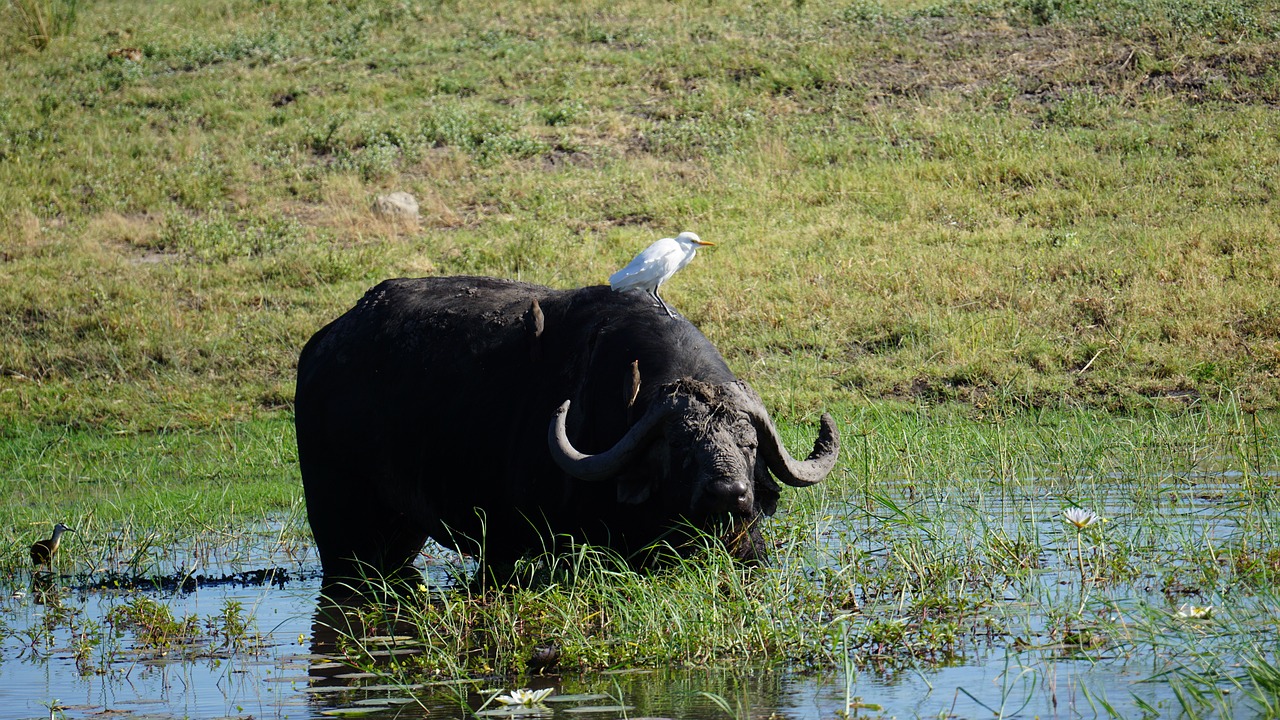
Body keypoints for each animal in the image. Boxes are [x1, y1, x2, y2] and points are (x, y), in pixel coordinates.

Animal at [296, 271, 839, 579]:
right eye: (681, 446)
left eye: (749, 444)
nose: (729, 494)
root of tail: (320, 347)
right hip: (341, 532)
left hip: (401, 536)